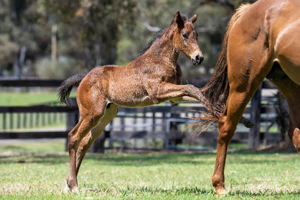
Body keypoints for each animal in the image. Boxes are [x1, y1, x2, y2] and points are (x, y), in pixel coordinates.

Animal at [59, 11, 207, 192]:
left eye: (197, 35)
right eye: (185, 35)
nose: (199, 58)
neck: (161, 59)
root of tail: (84, 78)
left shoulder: (174, 97)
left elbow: (195, 91)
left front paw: (216, 110)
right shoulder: (158, 92)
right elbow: (191, 87)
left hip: (106, 116)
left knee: (85, 143)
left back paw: (69, 183)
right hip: (92, 114)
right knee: (74, 137)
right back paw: (73, 185)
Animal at [200, 0, 300, 195]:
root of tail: (248, 10)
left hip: (289, 84)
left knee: (296, 132)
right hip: (243, 85)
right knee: (226, 126)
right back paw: (219, 185)